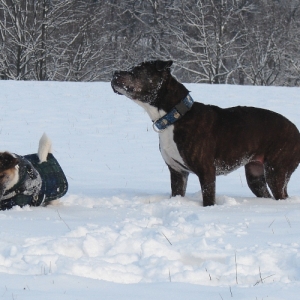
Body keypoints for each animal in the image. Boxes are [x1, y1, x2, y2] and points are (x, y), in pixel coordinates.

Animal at [111, 61, 300, 206]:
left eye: (137, 71)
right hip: (255, 175)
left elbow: (208, 199)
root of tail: (296, 130)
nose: (114, 72)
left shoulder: (206, 171)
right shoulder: (177, 172)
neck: (175, 116)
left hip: (276, 171)